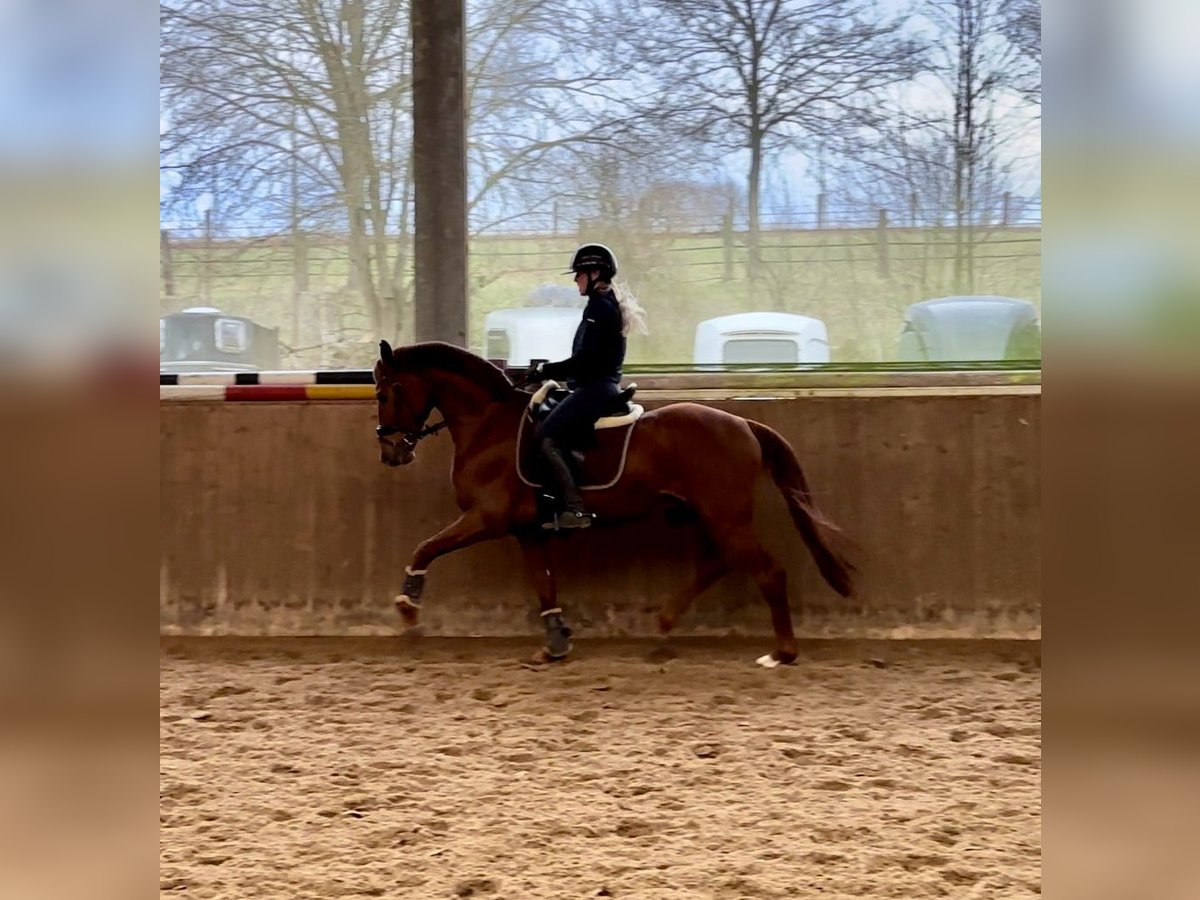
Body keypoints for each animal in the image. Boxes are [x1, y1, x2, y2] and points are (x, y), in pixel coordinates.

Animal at [374, 340, 854, 667]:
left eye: (384, 392)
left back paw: (782, 653)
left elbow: (427, 547)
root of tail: (743, 423)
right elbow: (545, 585)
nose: (392, 452)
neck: (488, 424)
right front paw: (556, 643)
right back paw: (664, 622)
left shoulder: (486, 518)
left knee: (767, 571)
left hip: (725, 517)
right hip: (710, 515)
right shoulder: (527, 530)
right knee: (718, 563)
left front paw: (408, 606)